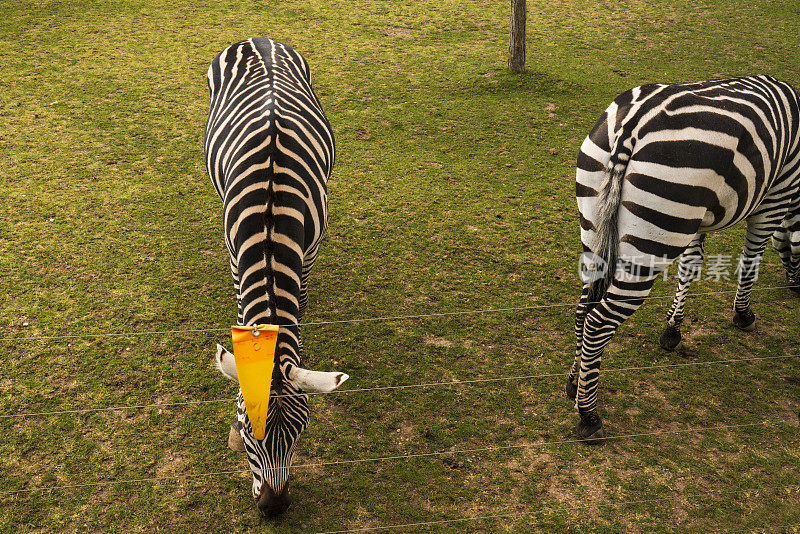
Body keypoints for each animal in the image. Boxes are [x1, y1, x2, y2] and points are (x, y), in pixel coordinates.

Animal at [203, 37, 346, 520]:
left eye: (301, 433)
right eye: (247, 432)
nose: (274, 508)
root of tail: (260, 39)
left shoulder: (310, 248)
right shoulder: (235, 256)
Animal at [568, 75, 800, 444]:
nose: (797, 289)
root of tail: (634, 122)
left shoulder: (696, 219)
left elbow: (691, 265)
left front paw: (672, 329)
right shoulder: (777, 194)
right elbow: (751, 260)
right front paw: (743, 315)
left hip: (598, 219)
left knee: (582, 310)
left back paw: (574, 386)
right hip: (655, 232)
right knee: (598, 321)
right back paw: (588, 416)